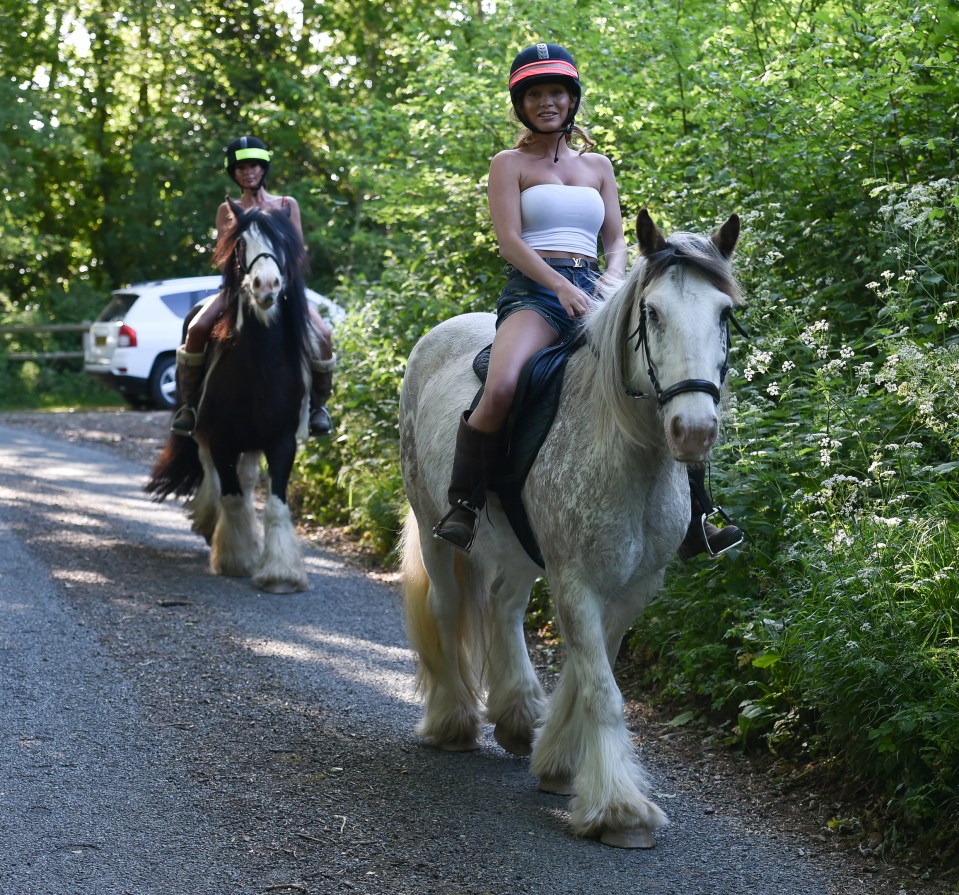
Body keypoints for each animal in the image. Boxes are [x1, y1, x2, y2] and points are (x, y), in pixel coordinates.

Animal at [398, 208, 744, 848]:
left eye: (724, 314)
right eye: (652, 313)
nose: (693, 431)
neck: (627, 451)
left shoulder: (636, 586)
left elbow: (592, 672)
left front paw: (560, 763)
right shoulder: (576, 579)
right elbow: (602, 689)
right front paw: (620, 810)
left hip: (516, 551)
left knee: (504, 606)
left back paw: (516, 718)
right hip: (435, 529)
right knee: (447, 608)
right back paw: (455, 722)